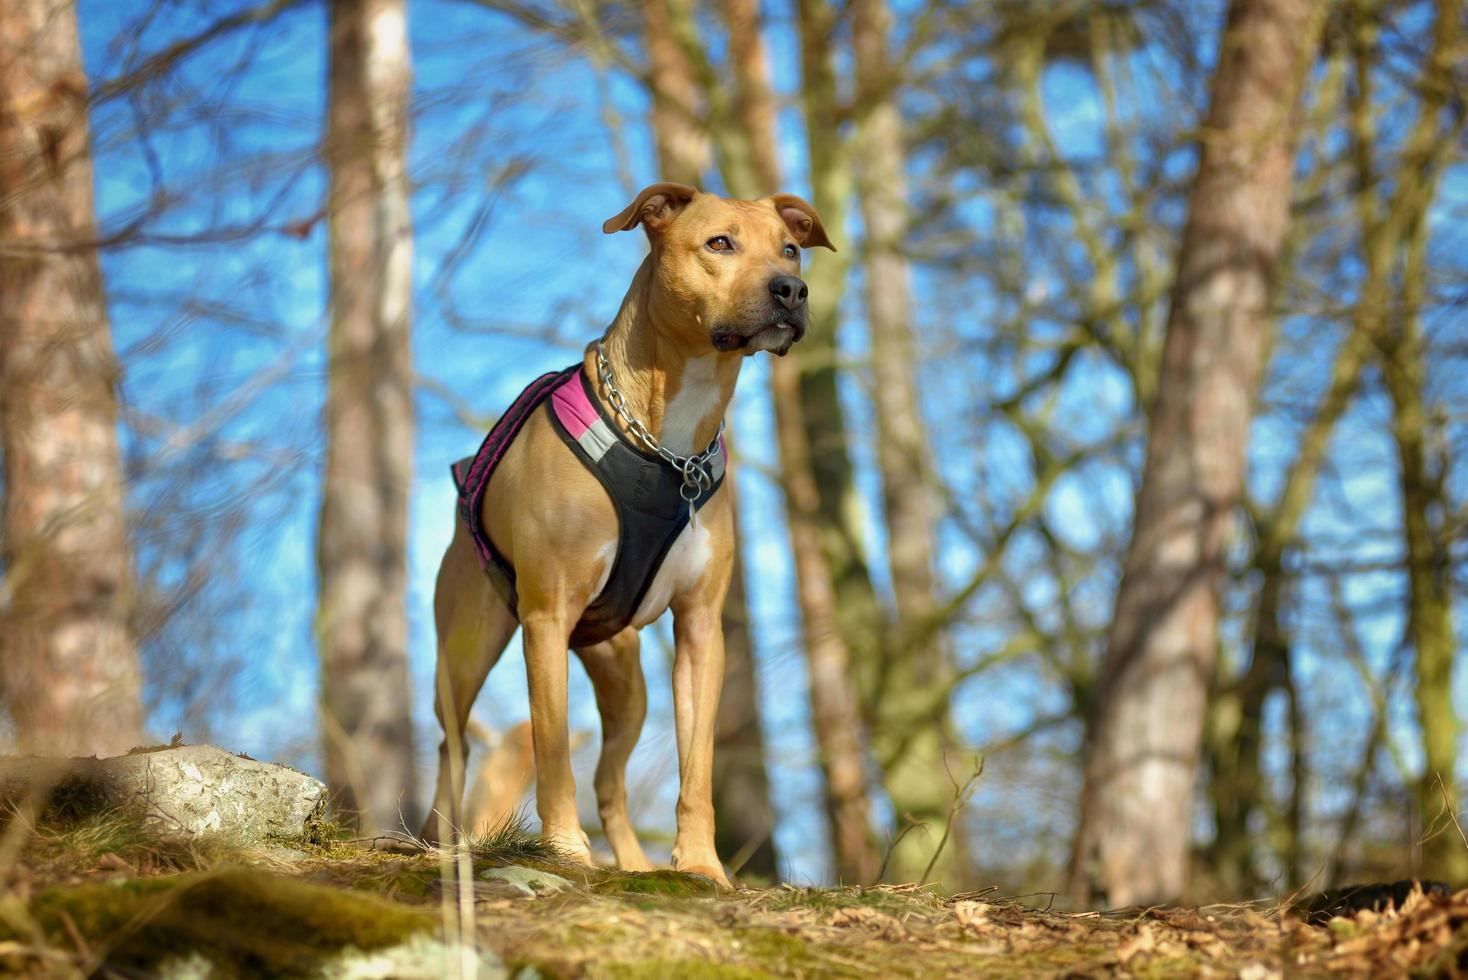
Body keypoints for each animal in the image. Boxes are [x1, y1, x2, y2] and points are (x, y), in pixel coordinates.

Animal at [425, 179, 839, 886]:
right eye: (719, 243)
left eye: (790, 248)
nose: (791, 289)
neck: (668, 442)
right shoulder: (545, 617)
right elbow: (552, 753)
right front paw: (564, 851)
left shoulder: (701, 629)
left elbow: (696, 767)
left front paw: (700, 865)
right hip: (465, 651)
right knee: (454, 746)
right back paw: (435, 844)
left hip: (626, 684)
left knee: (610, 782)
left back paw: (634, 865)